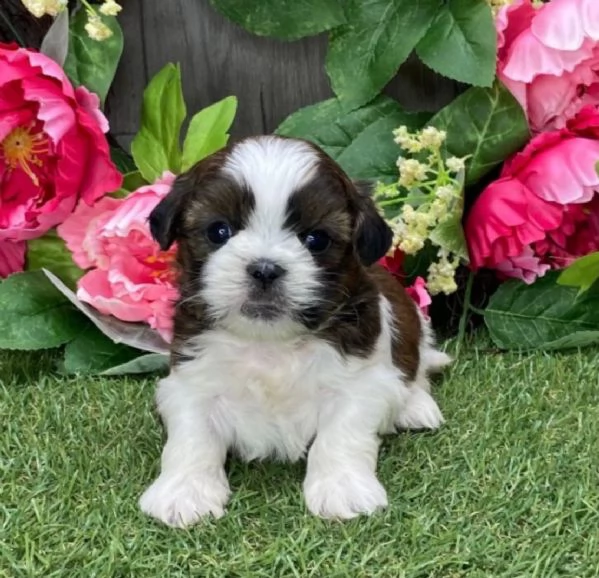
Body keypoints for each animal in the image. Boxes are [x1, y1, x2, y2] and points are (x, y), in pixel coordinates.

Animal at [139, 134, 450, 528]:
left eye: (316, 239)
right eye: (219, 231)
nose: (265, 269)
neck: (269, 342)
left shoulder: (360, 383)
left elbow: (340, 435)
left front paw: (341, 488)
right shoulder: (190, 380)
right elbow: (192, 436)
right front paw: (184, 491)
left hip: (414, 324)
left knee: (417, 368)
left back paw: (416, 406)